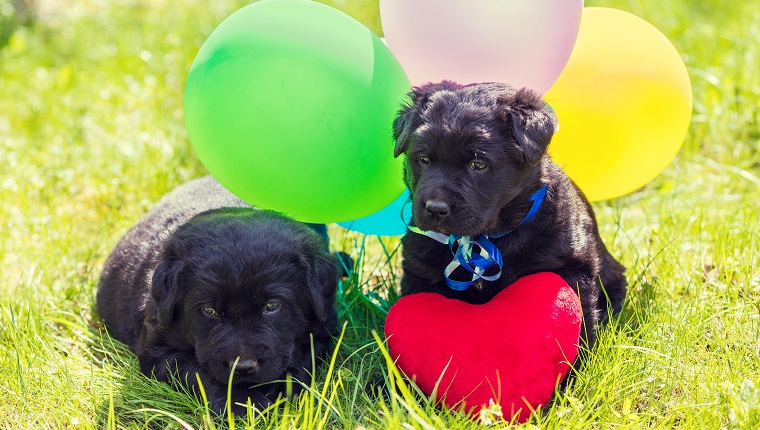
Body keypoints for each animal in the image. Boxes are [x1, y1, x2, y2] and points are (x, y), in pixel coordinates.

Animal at [95, 174, 338, 414]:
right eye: (209, 310)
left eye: (272, 306)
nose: (243, 367)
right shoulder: (156, 347)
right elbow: (197, 372)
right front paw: (243, 404)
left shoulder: (323, 329)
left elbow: (304, 360)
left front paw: (281, 389)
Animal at [394, 81, 628, 352]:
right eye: (423, 159)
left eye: (478, 165)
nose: (435, 208)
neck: (484, 240)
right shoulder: (420, 273)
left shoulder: (572, 267)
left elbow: (582, 323)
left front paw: (576, 363)